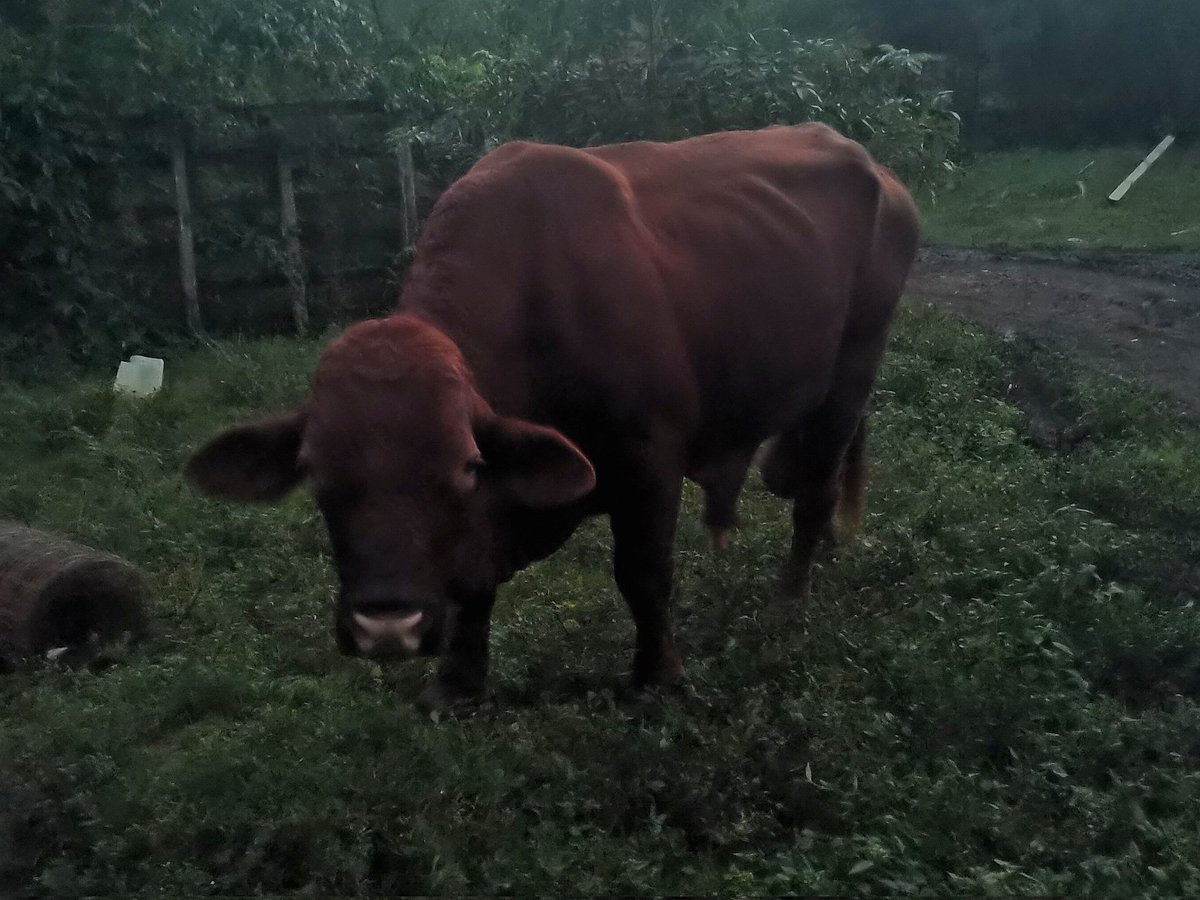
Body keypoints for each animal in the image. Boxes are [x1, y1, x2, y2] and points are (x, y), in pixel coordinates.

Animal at [184, 124, 920, 710]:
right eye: (315, 473)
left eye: (463, 466)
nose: (387, 625)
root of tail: (873, 166)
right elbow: (472, 588)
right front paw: (457, 683)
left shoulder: (648, 465)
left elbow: (643, 577)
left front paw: (657, 675)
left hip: (853, 370)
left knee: (816, 486)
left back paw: (790, 596)